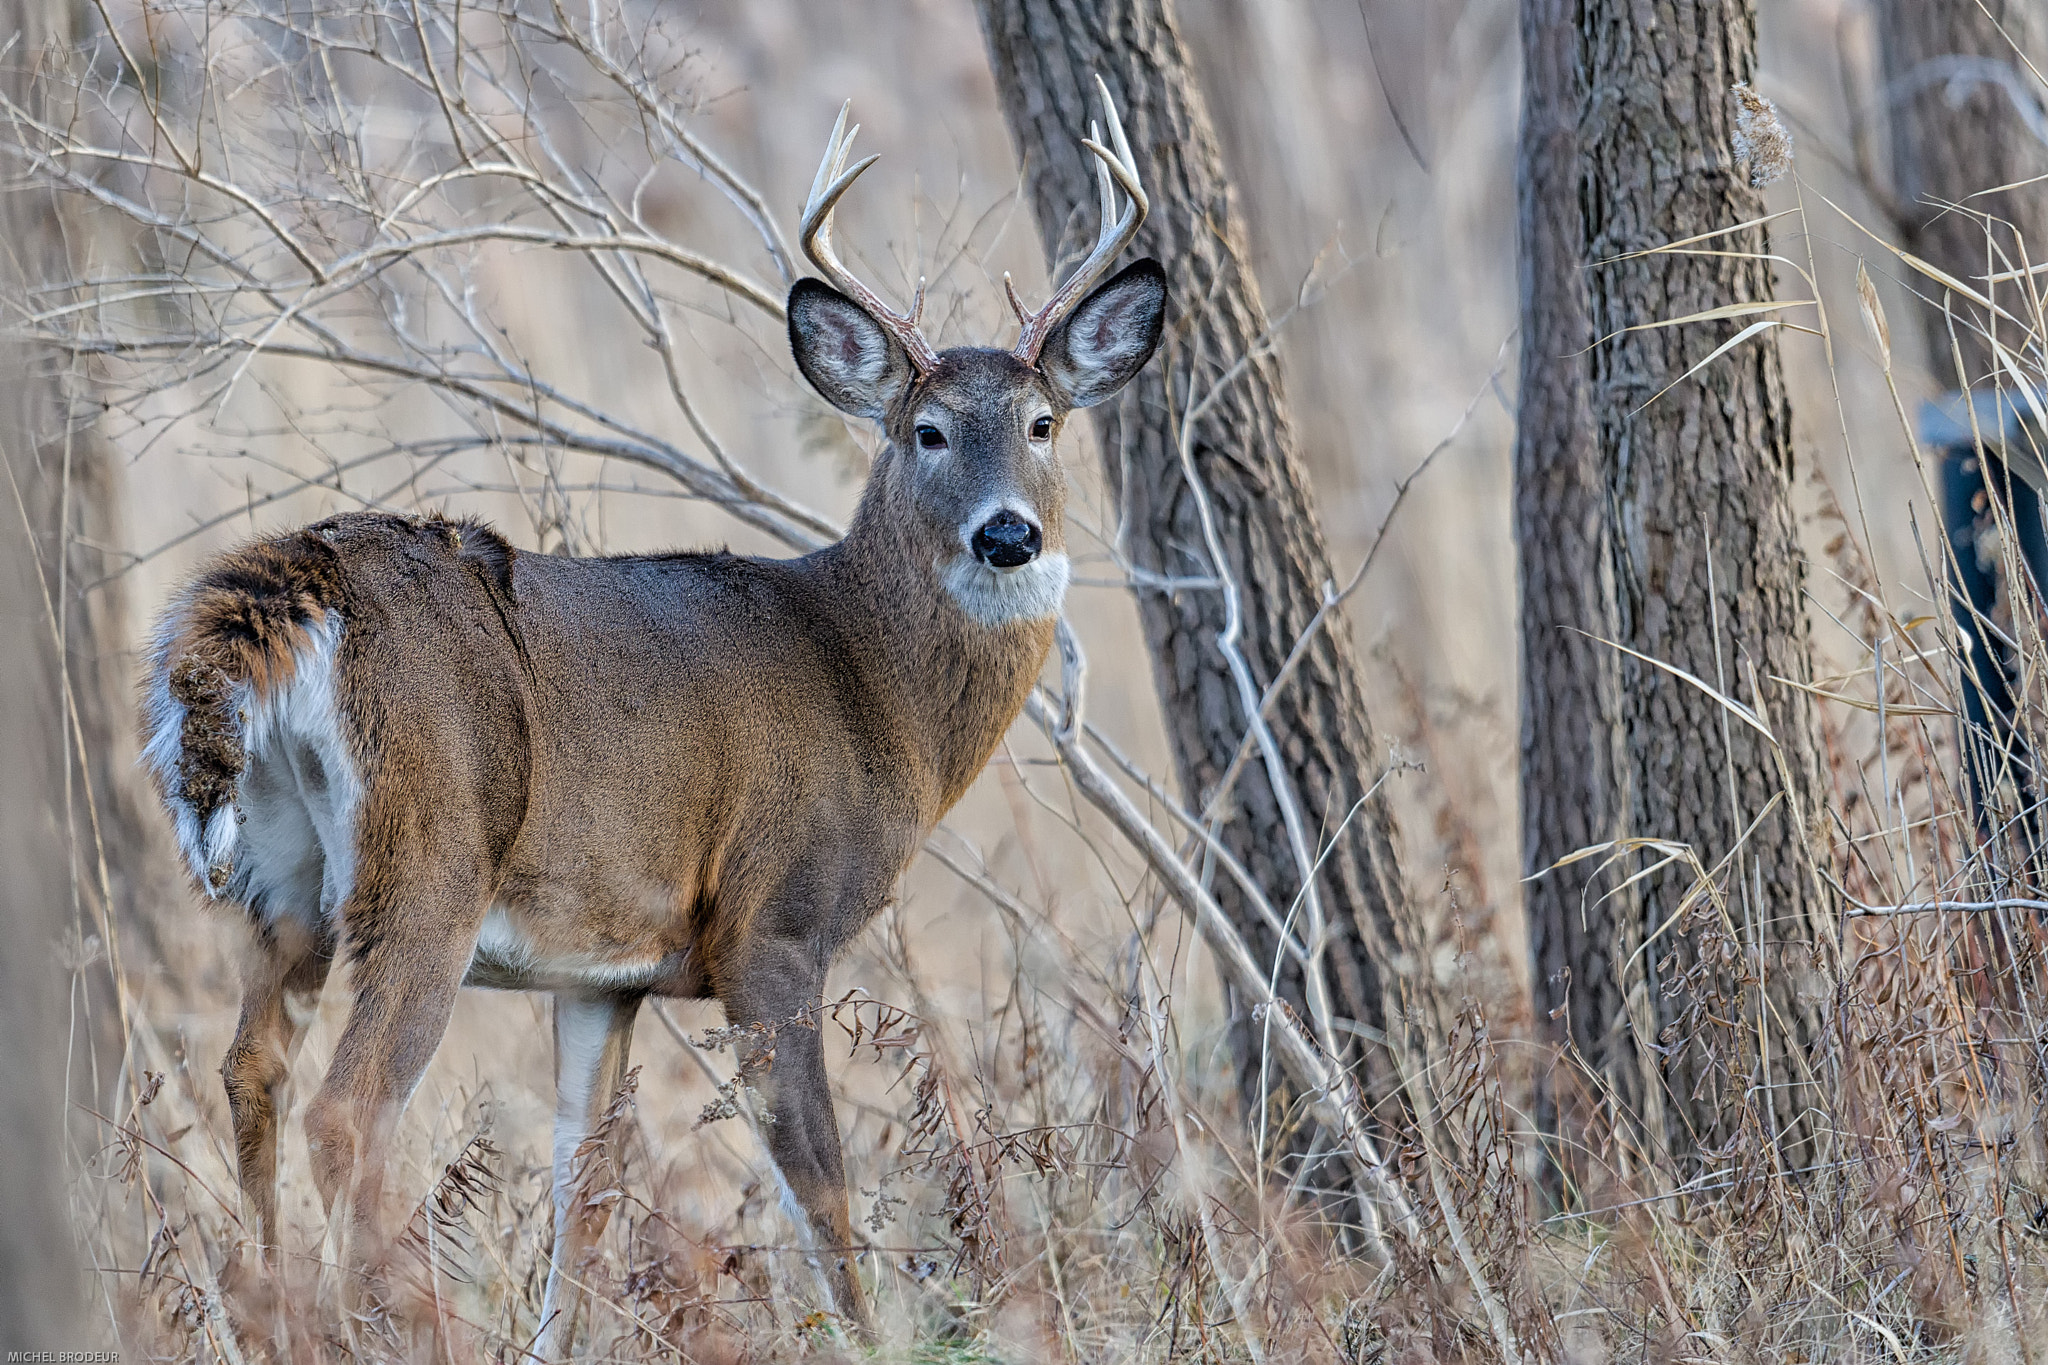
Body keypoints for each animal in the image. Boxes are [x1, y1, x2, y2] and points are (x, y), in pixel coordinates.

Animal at [140, 80, 1171, 1350]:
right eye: (925, 431)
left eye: (1042, 423)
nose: (1009, 535)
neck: (873, 688)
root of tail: (295, 581)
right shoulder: (769, 921)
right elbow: (820, 1184)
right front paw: (871, 1338)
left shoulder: (604, 972)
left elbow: (581, 1187)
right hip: (427, 860)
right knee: (349, 1111)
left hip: (283, 880)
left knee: (250, 1073)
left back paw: (276, 1319)